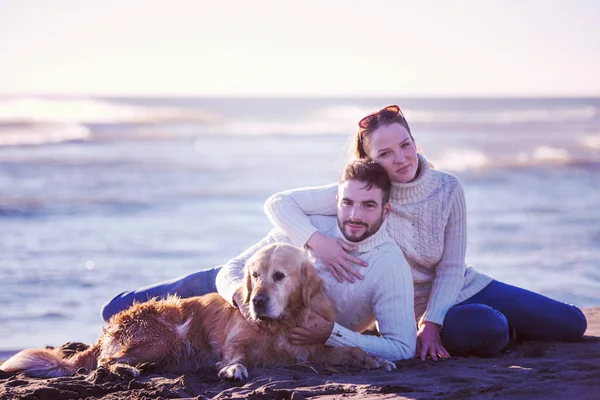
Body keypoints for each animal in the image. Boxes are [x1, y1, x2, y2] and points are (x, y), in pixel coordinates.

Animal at [1, 242, 394, 380]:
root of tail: (109, 328)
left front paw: (373, 359)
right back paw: (124, 369)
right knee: (103, 361)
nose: (256, 301)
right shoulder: (237, 339)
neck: (280, 326)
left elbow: (346, 350)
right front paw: (233, 368)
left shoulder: (308, 348)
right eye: (254, 276)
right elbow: (236, 354)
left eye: (279, 276)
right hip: (163, 337)